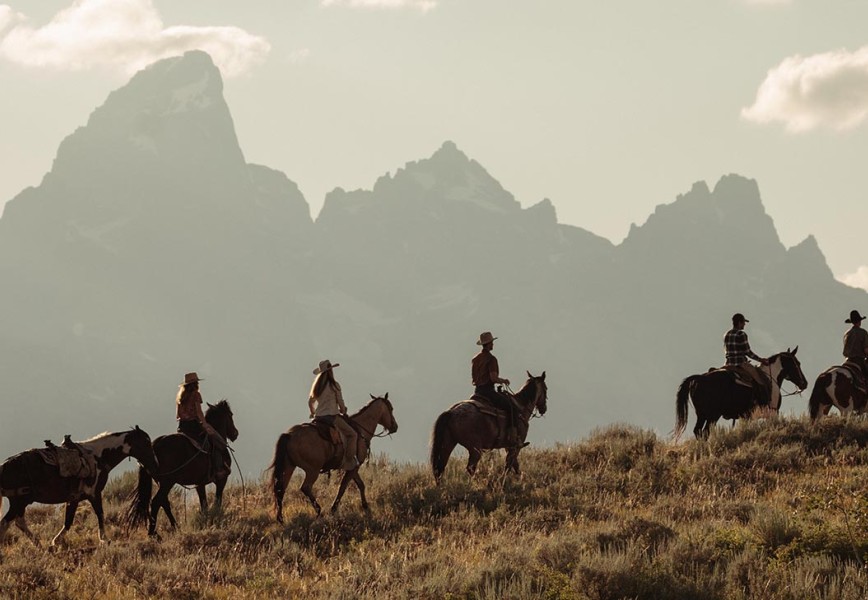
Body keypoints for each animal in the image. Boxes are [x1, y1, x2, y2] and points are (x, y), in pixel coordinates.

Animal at [0, 424, 159, 548]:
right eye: (146, 443)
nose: (154, 464)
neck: (98, 457)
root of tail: (5, 466)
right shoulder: (94, 494)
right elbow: (100, 514)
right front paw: (104, 539)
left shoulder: (74, 498)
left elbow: (68, 521)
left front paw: (55, 541)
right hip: (19, 502)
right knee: (6, 523)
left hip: (20, 502)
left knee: (18, 522)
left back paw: (38, 544)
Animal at [127, 400, 239, 536]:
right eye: (230, 414)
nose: (235, 433)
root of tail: (153, 446)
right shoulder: (222, 479)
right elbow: (217, 501)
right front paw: (215, 517)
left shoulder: (199, 483)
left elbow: (204, 504)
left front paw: (206, 519)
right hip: (167, 482)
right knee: (156, 502)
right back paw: (153, 532)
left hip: (160, 482)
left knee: (164, 502)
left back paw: (175, 526)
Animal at [270, 394, 398, 520]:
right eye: (391, 408)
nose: (395, 427)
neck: (360, 430)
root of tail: (289, 435)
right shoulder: (354, 466)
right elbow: (343, 487)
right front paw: (333, 509)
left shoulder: (353, 467)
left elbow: (360, 485)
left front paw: (365, 506)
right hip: (312, 470)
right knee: (305, 487)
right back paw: (319, 511)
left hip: (289, 466)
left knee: (281, 488)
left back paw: (280, 518)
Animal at [676, 346, 812, 440]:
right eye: (797, 363)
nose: (804, 383)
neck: (770, 377)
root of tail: (700, 378)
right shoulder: (773, 413)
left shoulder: (747, 417)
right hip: (713, 415)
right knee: (705, 432)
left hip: (702, 414)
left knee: (698, 431)